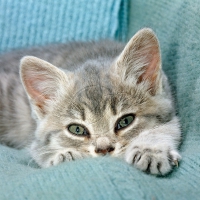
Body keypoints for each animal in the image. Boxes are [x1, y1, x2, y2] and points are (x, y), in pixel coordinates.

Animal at [0, 28, 181, 175]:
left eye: (125, 121)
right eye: (77, 129)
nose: (104, 149)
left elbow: (168, 127)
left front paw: (151, 148)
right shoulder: (36, 142)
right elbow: (41, 151)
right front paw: (63, 156)